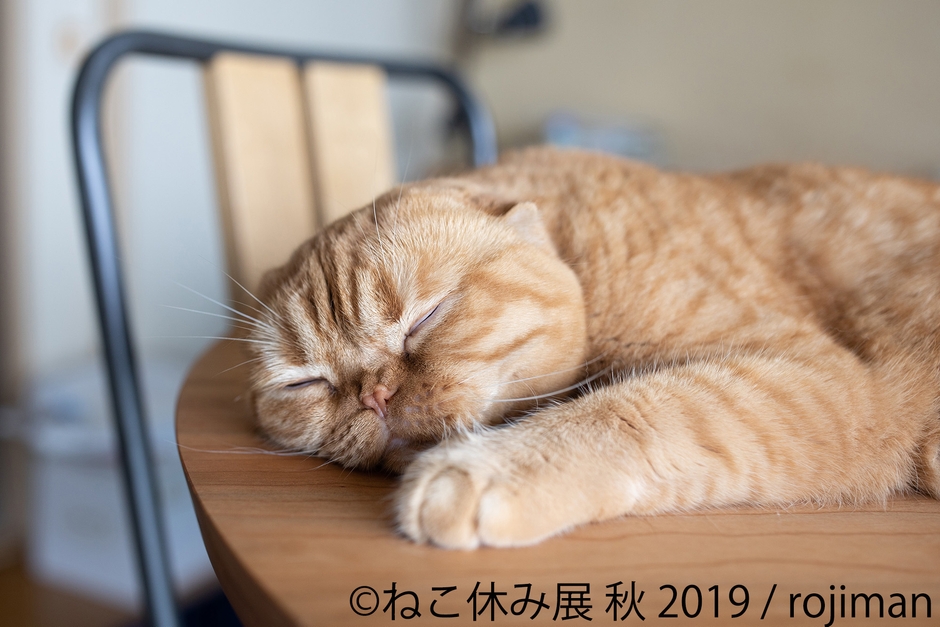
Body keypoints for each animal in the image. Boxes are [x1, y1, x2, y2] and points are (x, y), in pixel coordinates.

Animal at [245, 146, 940, 550]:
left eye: (426, 317)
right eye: (303, 382)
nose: (375, 397)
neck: (577, 250)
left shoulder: (828, 380)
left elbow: (629, 411)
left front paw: (480, 469)